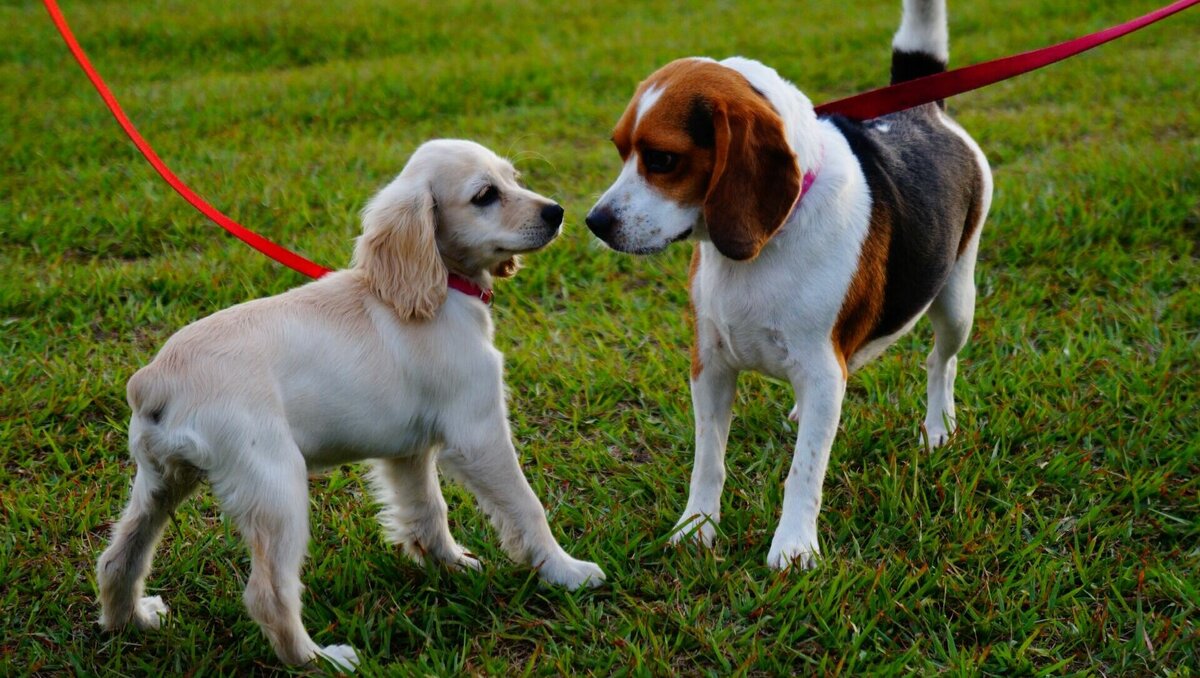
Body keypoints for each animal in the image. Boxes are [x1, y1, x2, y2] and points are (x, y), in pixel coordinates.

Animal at [97, 137, 604, 667]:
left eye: (513, 178)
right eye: (485, 195)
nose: (557, 212)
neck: (441, 289)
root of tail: (155, 379)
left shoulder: (408, 452)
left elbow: (427, 509)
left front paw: (448, 564)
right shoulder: (478, 433)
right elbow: (527, 507)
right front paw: (566, 571)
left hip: (160, 482)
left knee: (118, 558)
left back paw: (132, 623)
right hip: (276, 487)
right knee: (268, 594)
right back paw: (321, 659)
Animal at [585, 0, 988, 568]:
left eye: (662, 159)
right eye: (621, 150)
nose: (594, 222)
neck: (765, 244)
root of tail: (923, 110)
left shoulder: (821, 369)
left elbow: (805, 471)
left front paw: (794, 547)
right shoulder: (710, 364)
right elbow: (708, 459)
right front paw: (697, 527)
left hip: (956, 302)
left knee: (940, 362)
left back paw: (938, 428)